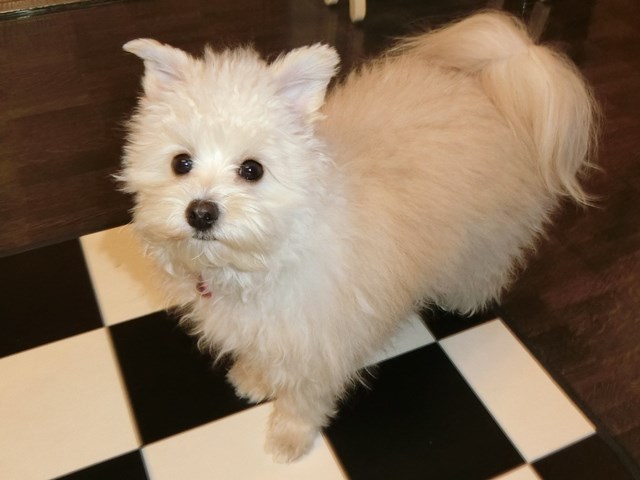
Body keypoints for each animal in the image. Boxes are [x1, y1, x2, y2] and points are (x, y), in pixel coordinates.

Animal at [119, 11, 598, 462]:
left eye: (252, 169)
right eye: (181, 163)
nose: (200, 213)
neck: (276, 250)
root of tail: (489, 79)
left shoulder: (322, 342)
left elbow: (303, 398)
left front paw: (288, 438)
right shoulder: (267, 327)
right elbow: (261, 355)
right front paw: (253, 378)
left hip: (492, 230)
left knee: (488, 263)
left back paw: (465, 297)